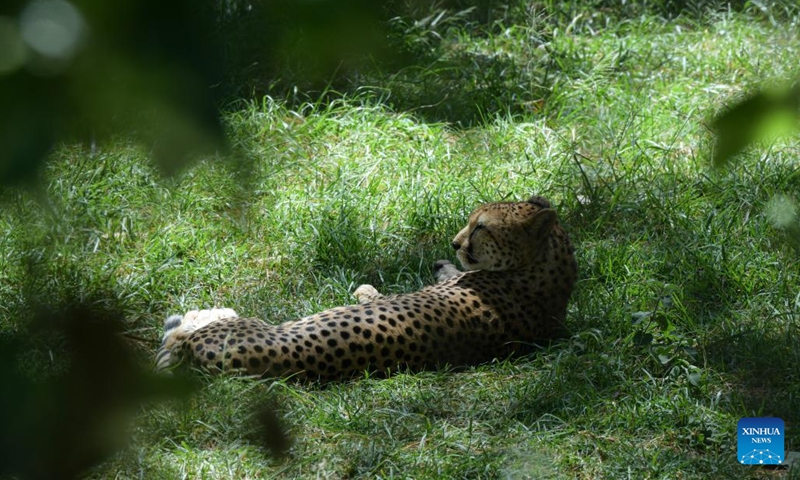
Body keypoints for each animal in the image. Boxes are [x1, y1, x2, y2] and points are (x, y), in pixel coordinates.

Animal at [155, 195, 577, 381]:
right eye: (471, 221)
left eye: (481, 227)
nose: (456, 243)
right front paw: (440, 264)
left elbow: (375, 293)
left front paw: (363, 289)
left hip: (244, 326)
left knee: (181, 335)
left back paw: (205, 313)